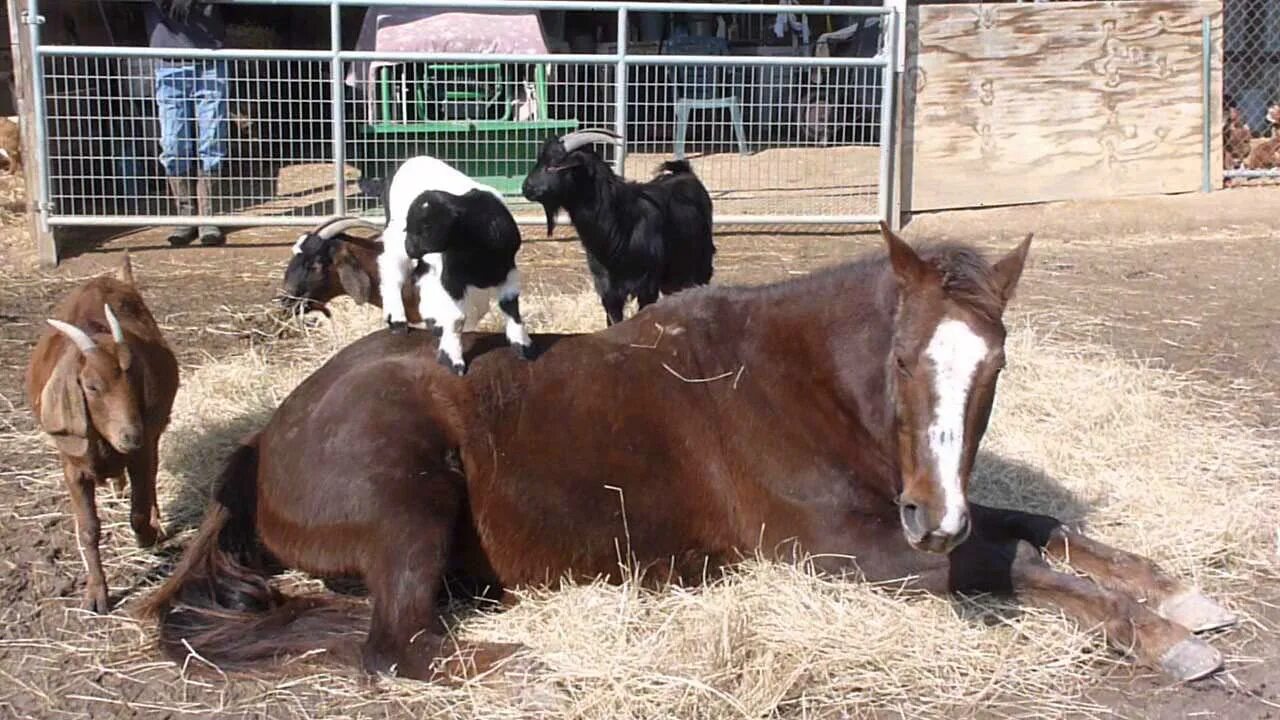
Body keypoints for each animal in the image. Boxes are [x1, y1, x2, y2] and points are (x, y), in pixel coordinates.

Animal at [26, 253, 180, 609]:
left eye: (135, 377)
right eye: (92, 386)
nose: (131, 435)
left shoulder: (142, 450)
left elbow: (139, 510)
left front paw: (147, 536)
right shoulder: (73, 466)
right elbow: (88, 529)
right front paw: (96, 595)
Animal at [145, 226, 1233, 681]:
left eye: (995, 365)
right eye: (900, 357)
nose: (934, 516)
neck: (795, 382)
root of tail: (262, 434)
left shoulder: (913, 520)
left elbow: (1032, 530)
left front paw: (1172, 592)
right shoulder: (863, 554)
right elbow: (1015, 564)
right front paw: (1156, 634)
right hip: (408, 506)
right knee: (392, 650)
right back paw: (523, 659)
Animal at [376, 154, 532, 371]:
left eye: (425, 228)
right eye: (412, 227)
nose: (410, 247)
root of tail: (412, 159)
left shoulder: (507, 269)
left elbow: (509, 305)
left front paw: (522, 345)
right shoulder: (452, 277)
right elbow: (458, 318)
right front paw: (452, 358)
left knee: (421, 274)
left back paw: (432, 320)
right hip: (393, 236)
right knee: (392, 270)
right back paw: (397, 320)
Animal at [522, 127, 721, 324]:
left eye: (554, 165)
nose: (526, 188)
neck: (620, 224)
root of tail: (686, 172)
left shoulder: (647, 285)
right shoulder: (608, 289)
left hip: (701, 265)